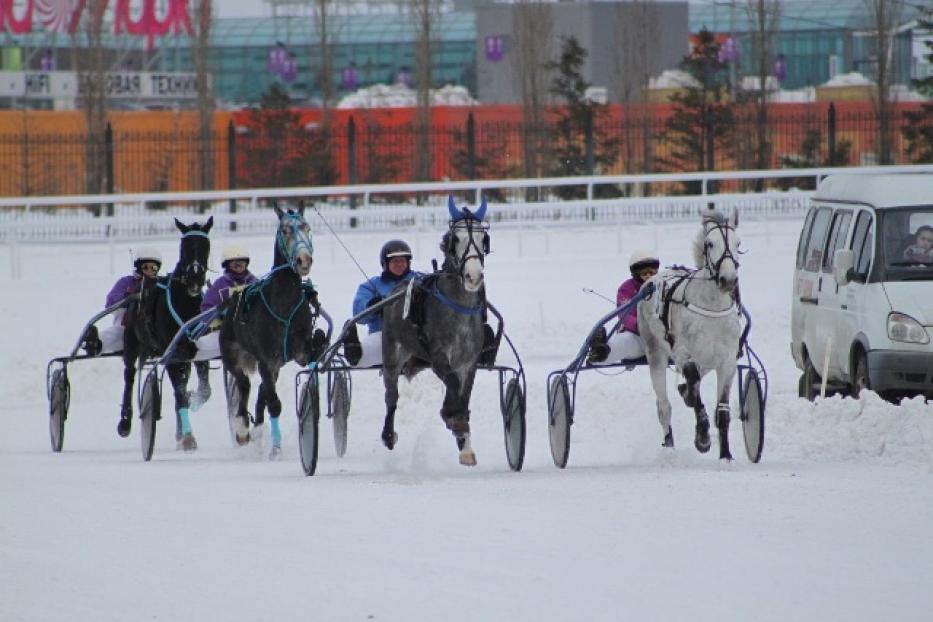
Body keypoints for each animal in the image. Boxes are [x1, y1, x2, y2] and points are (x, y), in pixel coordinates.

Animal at [120, 217, 211, 450]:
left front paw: (193, 402)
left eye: (205, 246)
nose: (195, 278)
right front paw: (188, 438)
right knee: (129, 376)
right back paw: (124, 422)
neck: (185, 304)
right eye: (184, 247)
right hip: (131, 343)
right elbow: (179, 393)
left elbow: (202, 390)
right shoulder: (171, 354)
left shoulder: (197, 350)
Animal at [219, 207, 324, 460]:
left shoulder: (299, 352)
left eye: (306, 226)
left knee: (261, 392)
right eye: (285, 230)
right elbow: (274, 404)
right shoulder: (266, 359)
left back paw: (257, 432)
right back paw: (243, 430)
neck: (283, 303)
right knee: (245, 385)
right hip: (232, 355)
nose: (304, 259)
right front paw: (276, 448)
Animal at [380, 197, 492, 466]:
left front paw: (465, 446)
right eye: (455, 238)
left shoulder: (469, 362)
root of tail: (397, 288)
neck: (459, 308)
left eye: (483, 238)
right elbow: (452, 384)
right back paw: (388, 435)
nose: (474, 276)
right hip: (392, 353)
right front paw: (451, 416)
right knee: (391, 396)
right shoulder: (439, 357)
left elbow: (464, 395)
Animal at [636, 210, 740, 464]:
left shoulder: (727, 361)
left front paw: (726, 456)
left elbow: (722, 412)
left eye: (738, 243)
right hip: (655, 351)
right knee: (664, 406)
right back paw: (669, 446)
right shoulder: (682, 351)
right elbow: (692, 379)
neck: (711, 306)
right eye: (710, 243)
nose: (728, 280)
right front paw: (702, 438)